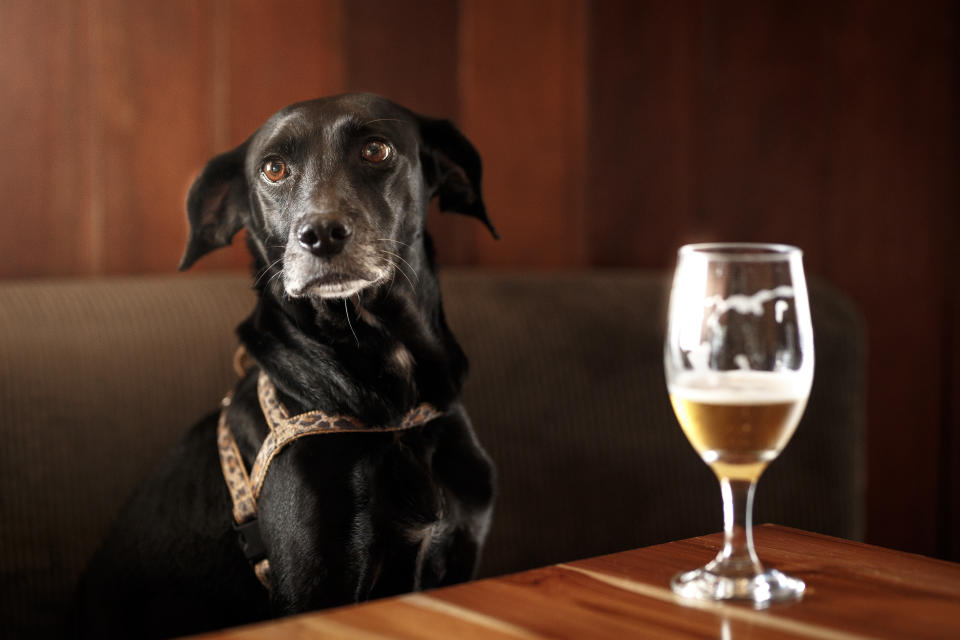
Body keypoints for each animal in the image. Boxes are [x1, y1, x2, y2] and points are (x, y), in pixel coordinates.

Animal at [79, 92, 498, 636]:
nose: (319, 235)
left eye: (376, 149)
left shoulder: (459, 554)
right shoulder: (318, 587)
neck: (396, 416)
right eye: (273, 168)